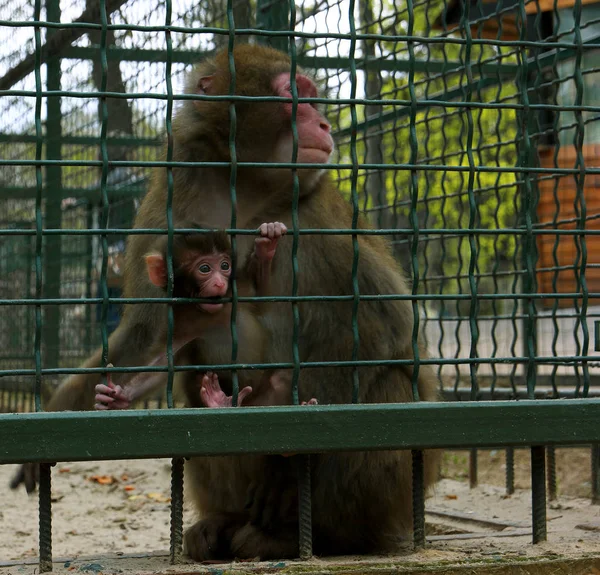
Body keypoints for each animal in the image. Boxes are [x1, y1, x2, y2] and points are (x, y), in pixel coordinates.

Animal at [9, 46, 440, 564]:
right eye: (295, 95)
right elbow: (147, 334)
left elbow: (386, 329)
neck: (247, 188)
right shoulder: (176, 196)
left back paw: (311, 536)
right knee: (199, 399)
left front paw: (287, 469)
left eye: (312, 96)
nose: (324, 124)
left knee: (389, 389)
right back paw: (222, 523)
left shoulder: (319, 224)